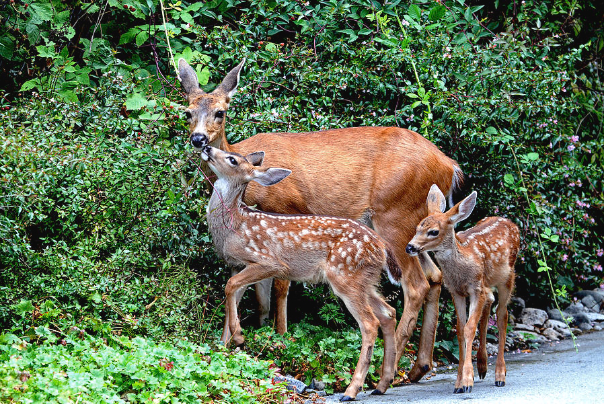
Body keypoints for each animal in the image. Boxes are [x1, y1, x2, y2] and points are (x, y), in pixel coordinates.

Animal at [204, 145, 402, 400]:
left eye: (232, 160)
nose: (205, 146)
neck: (233, 226)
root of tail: (381, 245)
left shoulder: (268, 261)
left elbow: (230, 286)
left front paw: (238, 336)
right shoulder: (236, 264)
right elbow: (232, 297)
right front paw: (224, 346)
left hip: (346, 275)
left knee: (369, 323)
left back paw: (352, 390)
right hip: (365, 280)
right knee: (388, 312)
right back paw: (382, 384)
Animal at [406, 185, 520, 392]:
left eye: (433, 231)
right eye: (418, 227)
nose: (410, 247)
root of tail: (510, 222)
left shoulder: (475, 288)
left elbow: (469, 328)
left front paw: (467, 381)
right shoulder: (456, 291)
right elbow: (460, 330)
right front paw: (459, 382)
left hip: (508, 278)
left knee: (502, 315)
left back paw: (500, 375)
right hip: (487, 284)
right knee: (490, 305)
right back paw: (482, 366)